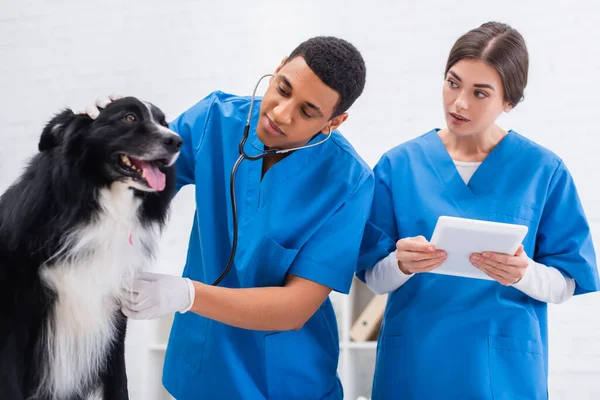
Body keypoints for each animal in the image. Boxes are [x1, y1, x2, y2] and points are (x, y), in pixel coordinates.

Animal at [0, 97, 180, 400]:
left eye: (163, 122)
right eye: (129, 117)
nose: (177, 141)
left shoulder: (113, 316)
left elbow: (119, 382)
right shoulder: (14, 322)